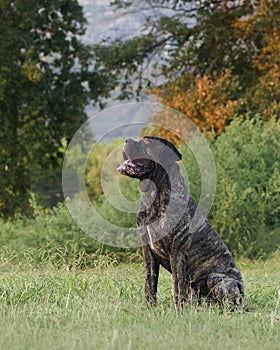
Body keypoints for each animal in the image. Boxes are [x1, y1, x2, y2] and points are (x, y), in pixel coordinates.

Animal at [117, 136, 244, 308]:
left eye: (146, 143)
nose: (126, 140)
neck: (153, 196)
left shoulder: (177, 251)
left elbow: (177, 285)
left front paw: (179, 310)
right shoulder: (148, 251)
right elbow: (150, 283)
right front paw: (148, 308)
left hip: (217, 279)